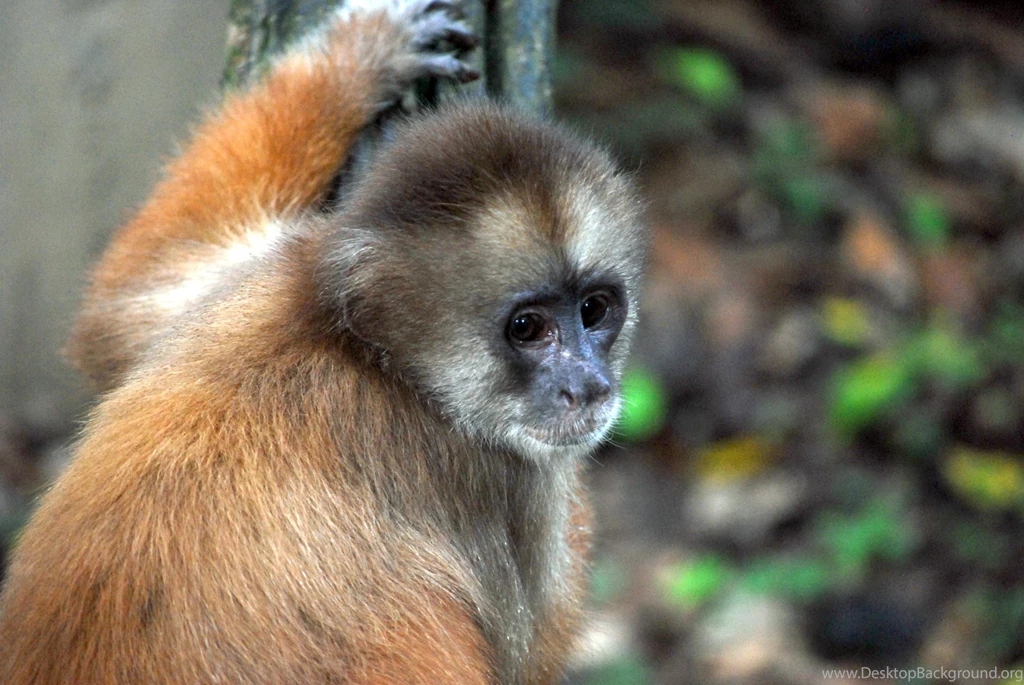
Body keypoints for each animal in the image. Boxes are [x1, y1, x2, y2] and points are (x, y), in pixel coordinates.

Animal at [0, 1, 648, 683]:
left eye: (594, 311)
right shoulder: (492, 476)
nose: (589, 386)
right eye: (528, 328)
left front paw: (351, 64)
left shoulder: (273, 274)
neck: (367, 356)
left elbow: (122, 311)